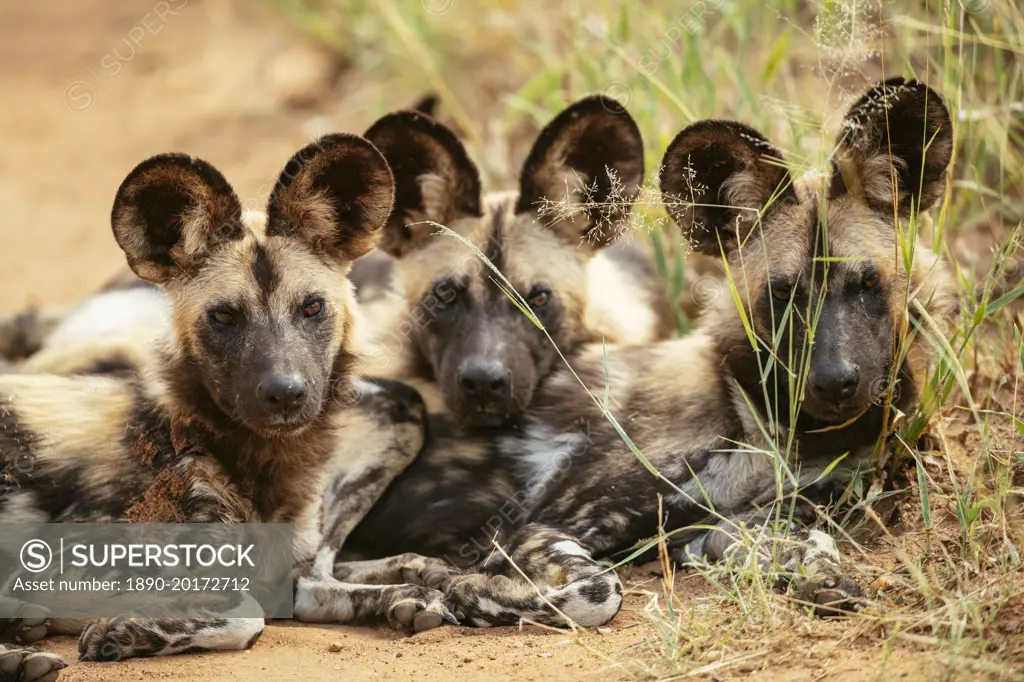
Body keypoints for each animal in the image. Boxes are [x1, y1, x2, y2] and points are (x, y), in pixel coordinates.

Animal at [0, 135, 456, 675]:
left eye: (312, 307)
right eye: (223, 317)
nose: (286, 392)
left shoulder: (288, 576)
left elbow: (307, 591)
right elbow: (246, 616)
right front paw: (125, 632)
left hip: (403, 416)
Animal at [348, 78, 954, 626]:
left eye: (869, 284)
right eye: (783, 294)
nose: (833, 381)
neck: (768, 433)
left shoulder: (742, 521)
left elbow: (776, 540)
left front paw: (815, 572)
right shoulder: (538, 527)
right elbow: (595, 591)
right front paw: (465, 590)